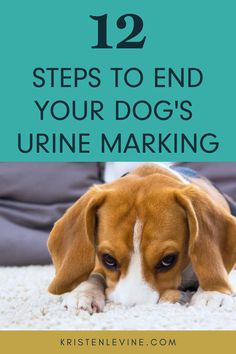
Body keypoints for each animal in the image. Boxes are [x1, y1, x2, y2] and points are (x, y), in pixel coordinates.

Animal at [46, 163, 236, 312]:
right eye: (108, 259)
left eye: (168, 260)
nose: (134, 309)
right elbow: (93, 275)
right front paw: (83, 292)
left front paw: (213, 292)